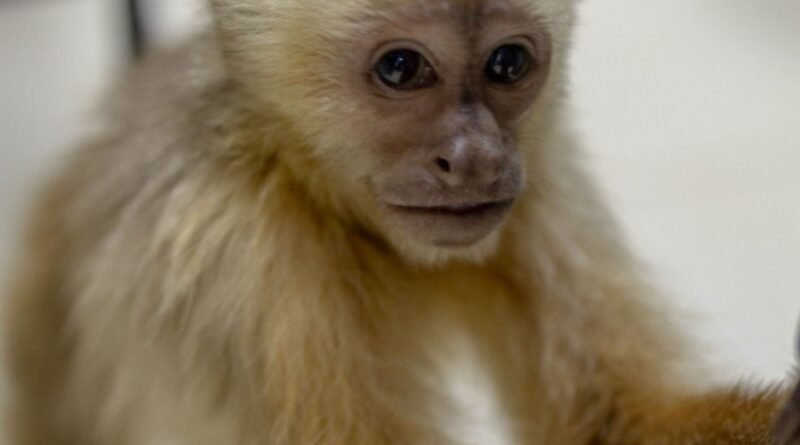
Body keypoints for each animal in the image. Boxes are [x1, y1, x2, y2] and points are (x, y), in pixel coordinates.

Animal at [2, 0, 790, 444]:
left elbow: (610, 421)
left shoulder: (541, 179)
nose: (475, 158)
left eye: (508, 63)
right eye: (402, 68)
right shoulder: (235, 259)